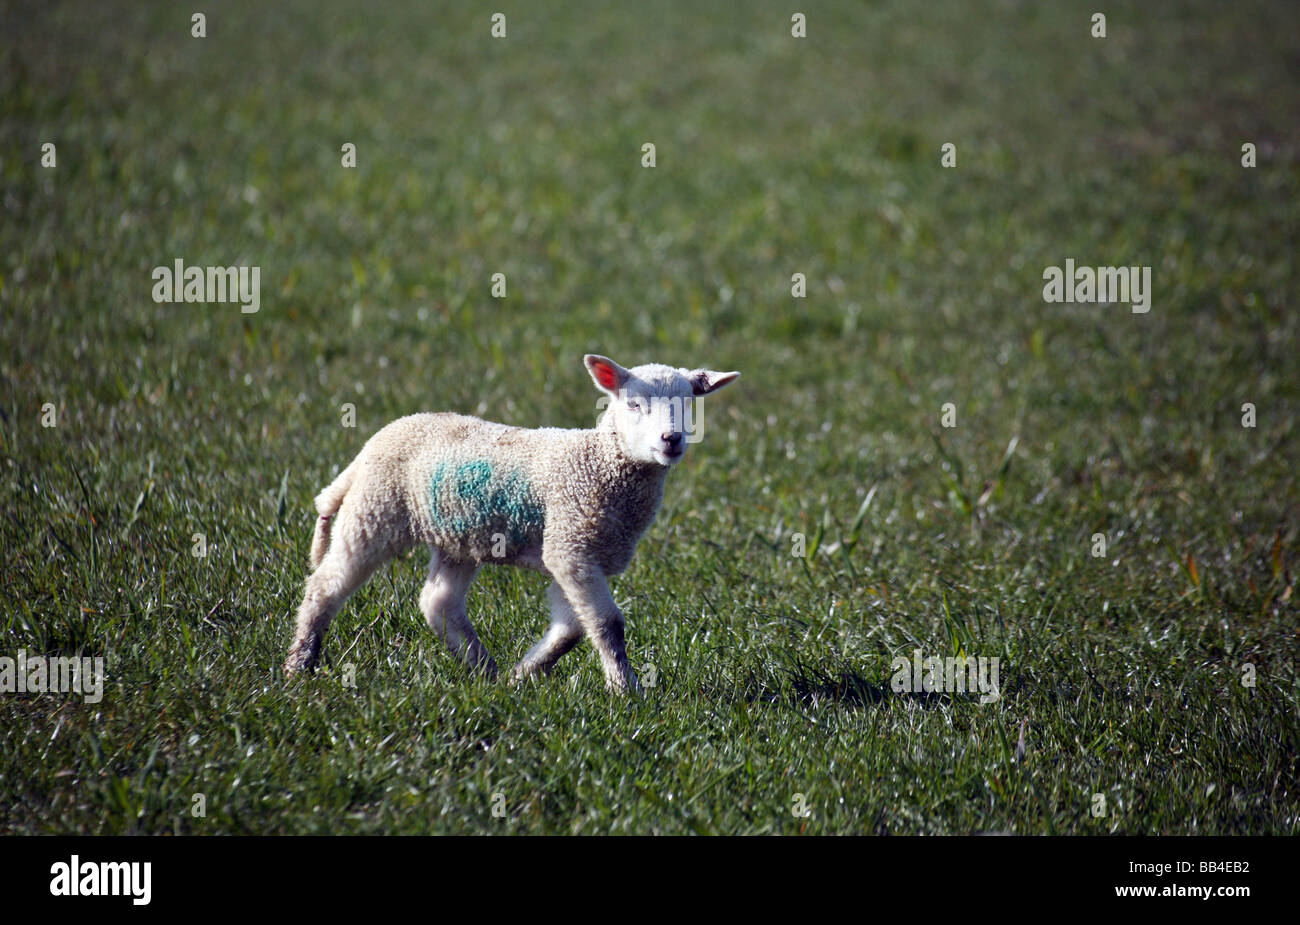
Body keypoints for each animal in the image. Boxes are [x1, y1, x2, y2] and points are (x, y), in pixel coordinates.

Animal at [283, 354, 740, 693]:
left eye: (689, 404)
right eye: (633, 404)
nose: (671, 440)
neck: (598, 462)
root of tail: (371, 444)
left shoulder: (579, 551)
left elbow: (572, 628)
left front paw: (524, 675)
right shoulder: (570, 544)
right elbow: (608, 625)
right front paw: (627, 691)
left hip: (457, 536)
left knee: (438, 601)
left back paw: (485, 670)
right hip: (374, 510)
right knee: (326, 585)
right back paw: (299, 664)